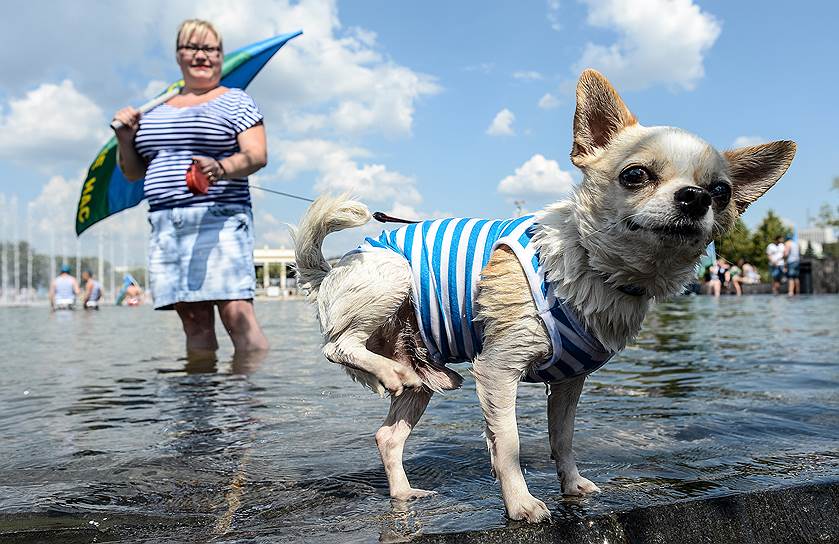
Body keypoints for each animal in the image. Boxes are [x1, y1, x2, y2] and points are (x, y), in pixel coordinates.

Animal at [292, 70, 796, 520]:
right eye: (635, 175)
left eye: (722, 192)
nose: (695, 197)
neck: (596, 267)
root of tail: (328, 269)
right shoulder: (498, 369)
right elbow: (509, 444)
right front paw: (521, 505)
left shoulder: (570, 380)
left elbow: (563, 438)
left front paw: (571, 486)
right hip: (392, 276)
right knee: (338, 345)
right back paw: (384, 373)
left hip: (424, 374)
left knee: (388, 435)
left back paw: (403, 491)